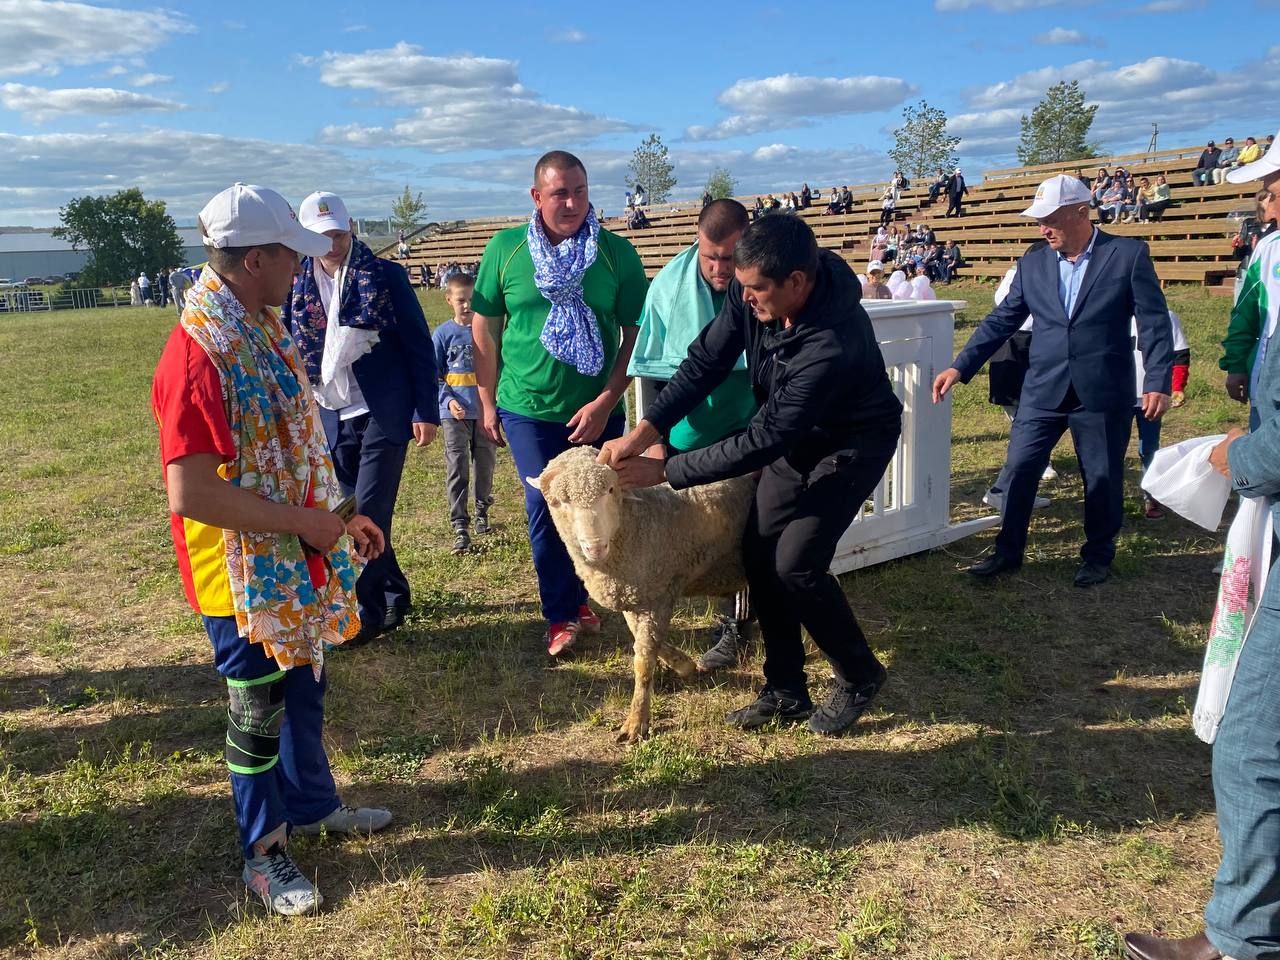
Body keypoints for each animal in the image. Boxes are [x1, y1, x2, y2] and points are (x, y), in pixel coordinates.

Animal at [524, 448, 752, 747]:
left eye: (611, 489)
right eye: (559, 502)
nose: (595, 547)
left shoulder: (657, 595)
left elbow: (643, 662)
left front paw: (636, 723)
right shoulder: (637, 596)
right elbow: (647, 643)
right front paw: (685, 666)